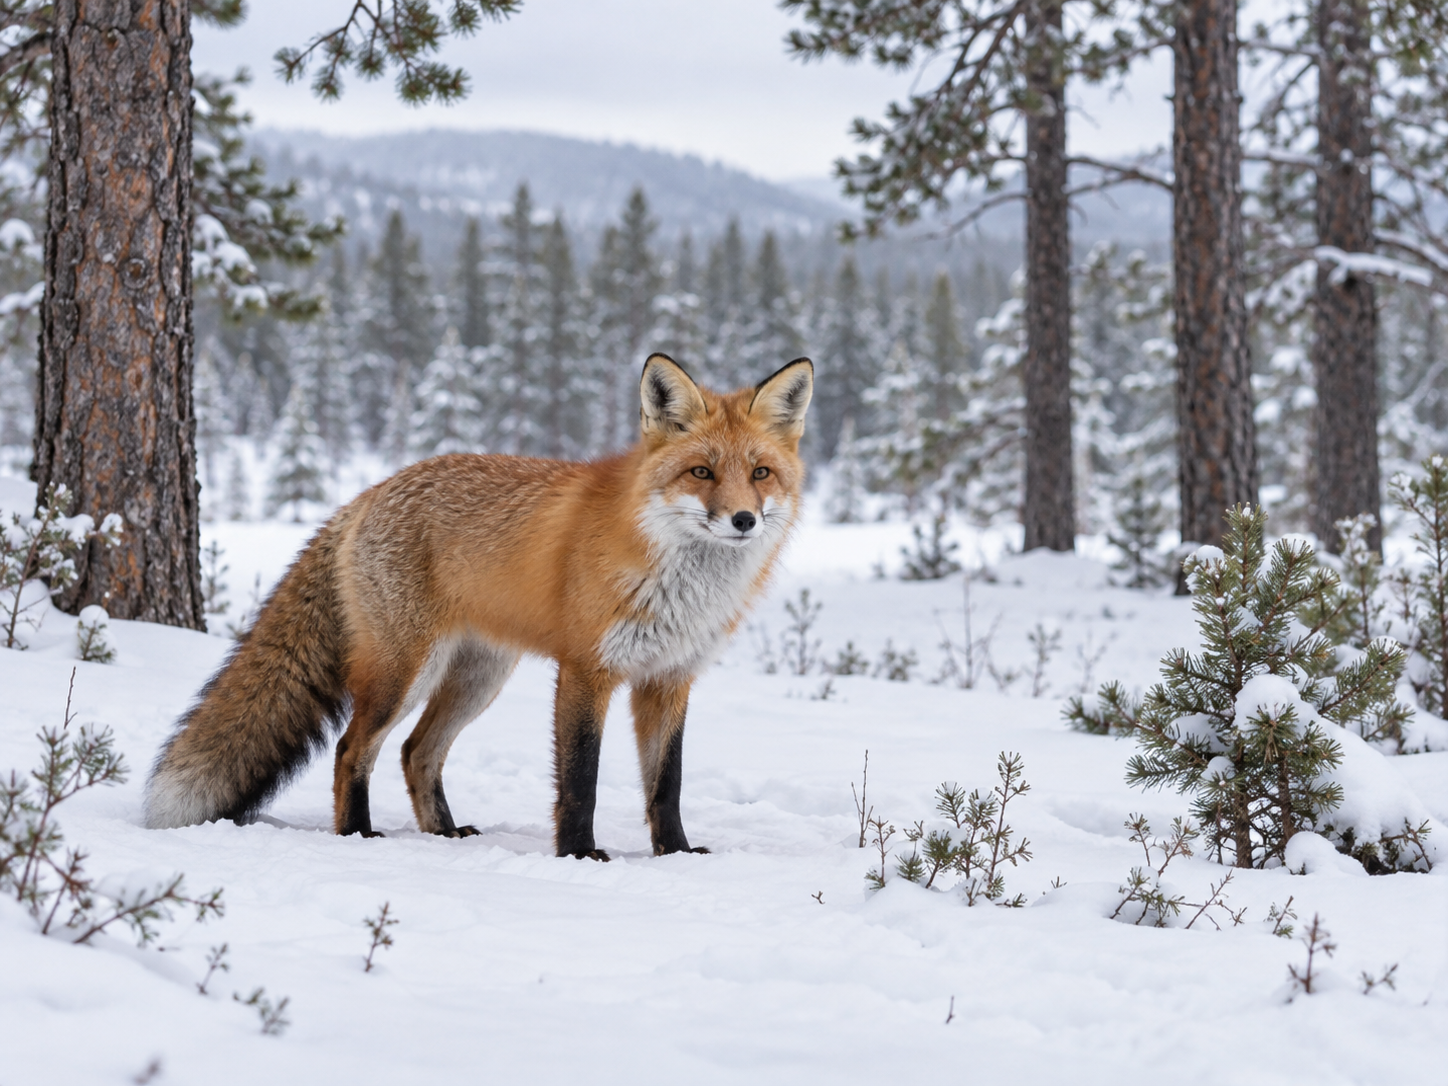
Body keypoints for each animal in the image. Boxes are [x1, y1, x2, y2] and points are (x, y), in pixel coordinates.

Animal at [145, 353, 813, 859]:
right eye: (701, 472)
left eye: (760, 474)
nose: (744, 519)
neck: (676, 579)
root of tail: (368, 494)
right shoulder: (586, 671)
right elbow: (581, 780)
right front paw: (578, 854)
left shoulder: (669, 678)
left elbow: (665, 784)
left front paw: (675, 853)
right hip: (403, 673)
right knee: (353, 749)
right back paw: (357, 833)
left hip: (477, 678)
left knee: (417, 753)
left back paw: (443, 833)